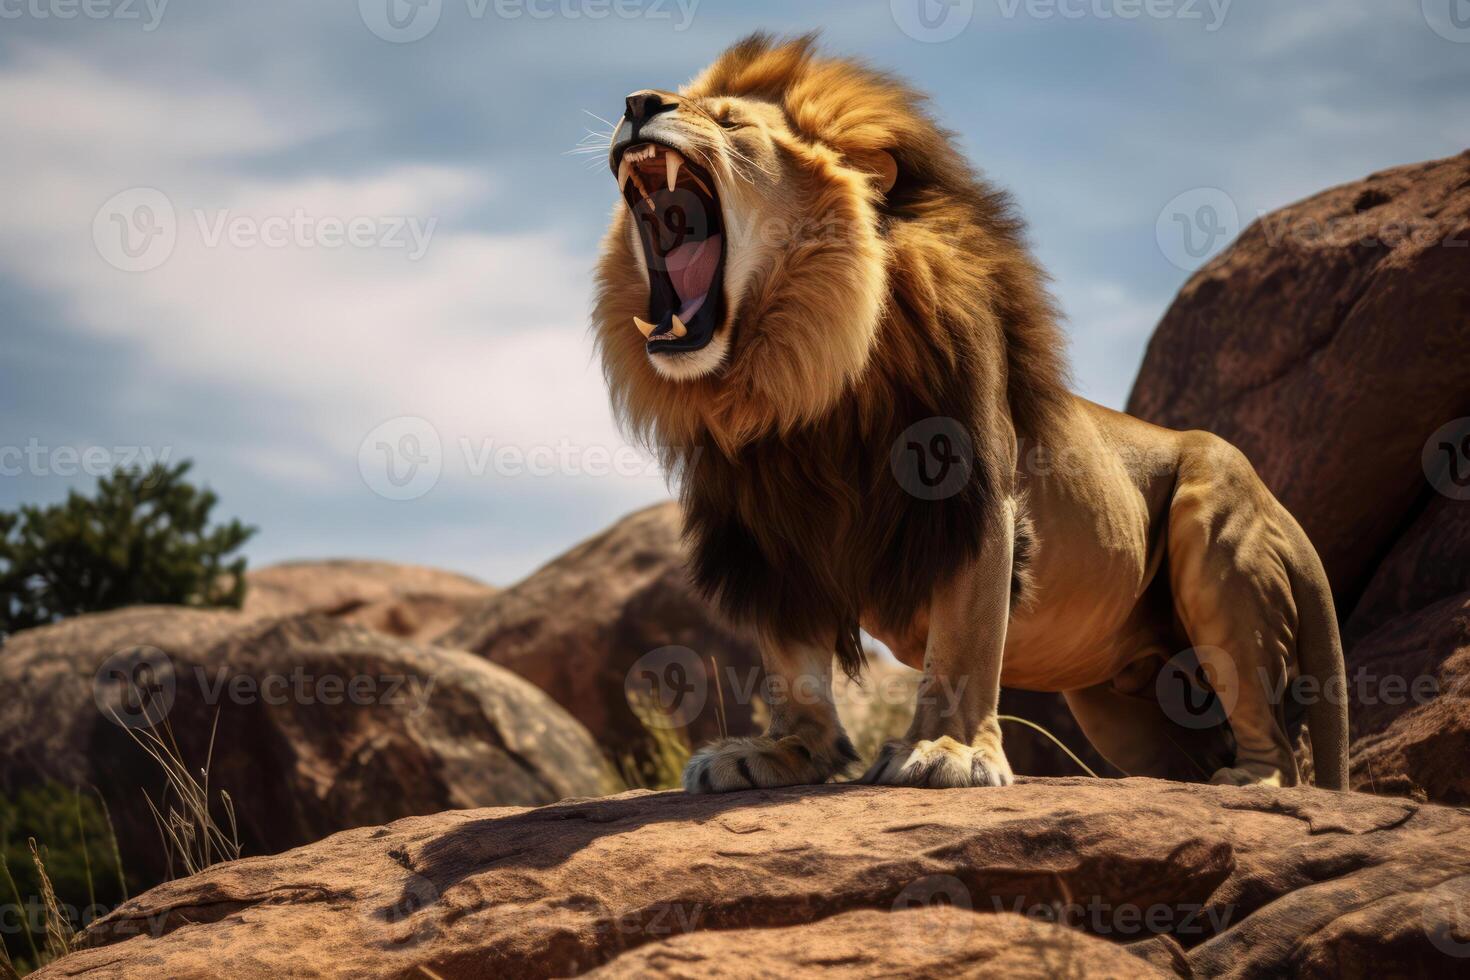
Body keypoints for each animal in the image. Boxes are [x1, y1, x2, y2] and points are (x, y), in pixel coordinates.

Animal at [590, 32, 1346, 799]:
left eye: (730, 122)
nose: (637, 103)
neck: (800, 377)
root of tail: (1285, 515)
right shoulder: (765, 535)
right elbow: (792, 664)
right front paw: (784, 751)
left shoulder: (968, 490)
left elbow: (963, 640)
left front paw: (945, 751)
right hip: (1121, 703)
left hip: (1216, 534)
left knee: (1278, 746)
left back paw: (1246, 785)